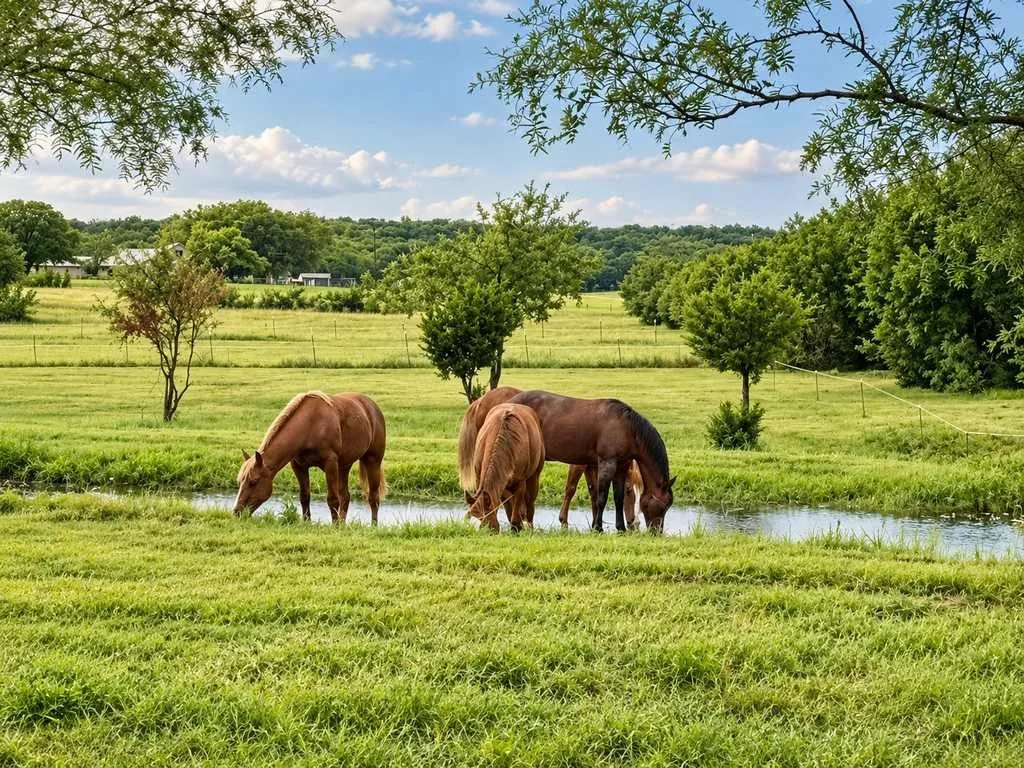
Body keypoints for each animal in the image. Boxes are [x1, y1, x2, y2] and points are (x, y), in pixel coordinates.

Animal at [234, 391, 387, 524]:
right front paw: (307, 522)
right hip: (344, 466)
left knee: (373, 498)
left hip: (373, 461)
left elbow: (332, 499)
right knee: (346, 496)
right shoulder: (298, 466)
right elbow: (304, 496)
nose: (237, 512)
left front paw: (334, 526)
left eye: (253, 481)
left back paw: (373, 526)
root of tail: (372, 407)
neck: (310, 425)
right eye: (240, 481)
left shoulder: (330, 464)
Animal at [467, 403, 545, 532]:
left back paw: (529, 525)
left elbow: (519, 497)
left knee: (530, 500)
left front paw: (516, 526)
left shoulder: (520, 481)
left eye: (485, 526)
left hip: (535, 475)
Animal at [508, 389, 674, 532]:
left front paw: (620, 528)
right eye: (663, 506)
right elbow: (601, 497)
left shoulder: (621, 466)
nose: (657, 531)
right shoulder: (607, 463)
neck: (627, 428)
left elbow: (617, 498)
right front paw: (598, 527)